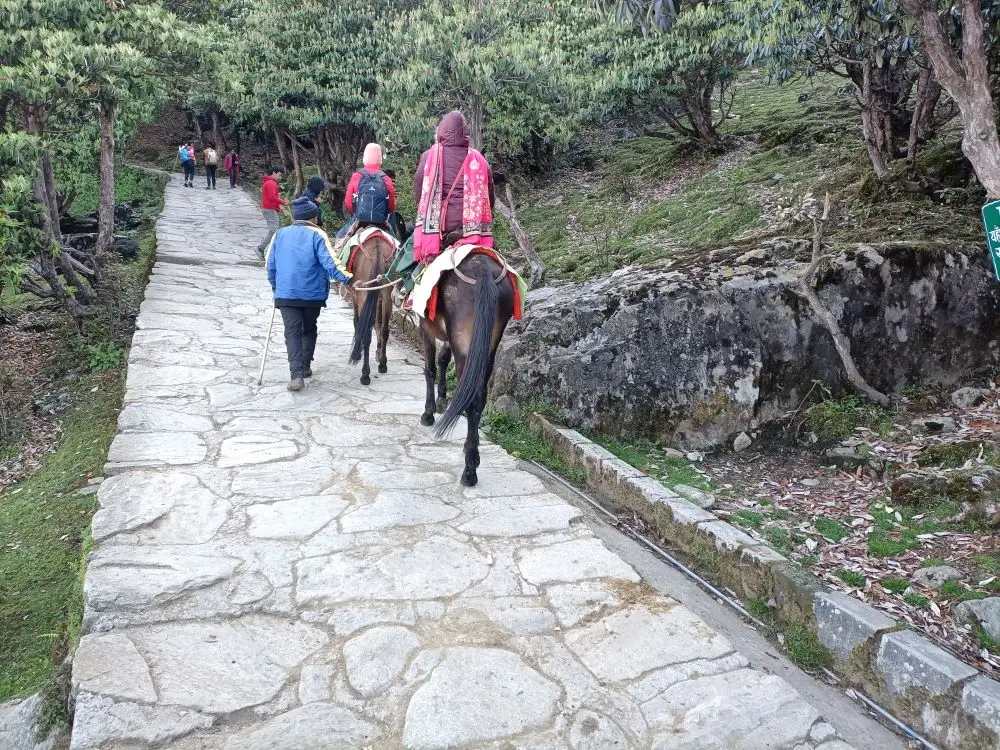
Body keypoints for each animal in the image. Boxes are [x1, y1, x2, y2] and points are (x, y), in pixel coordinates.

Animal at [346, 234, 396, 388]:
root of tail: (378, 249)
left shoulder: (356, 296)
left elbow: (357, 323)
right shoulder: (379, 298)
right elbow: (378, 325)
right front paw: (379, 354)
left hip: (364, 294)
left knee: (366, 333)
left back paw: (365, 374)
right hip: (386, 294)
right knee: (385, 330)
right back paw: (383, 364)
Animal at [420, 253, 516, 488]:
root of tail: (483, 272)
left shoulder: (425, 326)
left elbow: (430, 368)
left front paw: (428, 412)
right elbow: (443, 359)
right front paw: (442, 399)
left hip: (464, 341)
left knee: (471, 395)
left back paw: (469, 470)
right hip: (487, 346)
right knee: (479, 397)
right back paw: (470, 450)